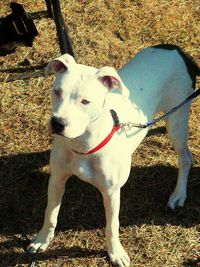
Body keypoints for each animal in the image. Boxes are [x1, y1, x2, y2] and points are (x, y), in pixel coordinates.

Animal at [27, 45, 199, 266]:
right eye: (57, 91)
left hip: (177, 120)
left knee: (186, 157)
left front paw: (115, 253)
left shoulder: (111, 192)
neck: (83, 143)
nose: (57, 123)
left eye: (85, 101)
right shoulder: (57, 179)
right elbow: (50, 214)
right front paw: (42, 240)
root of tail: (177, 49)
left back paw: (179, 194)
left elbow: (112, 226)